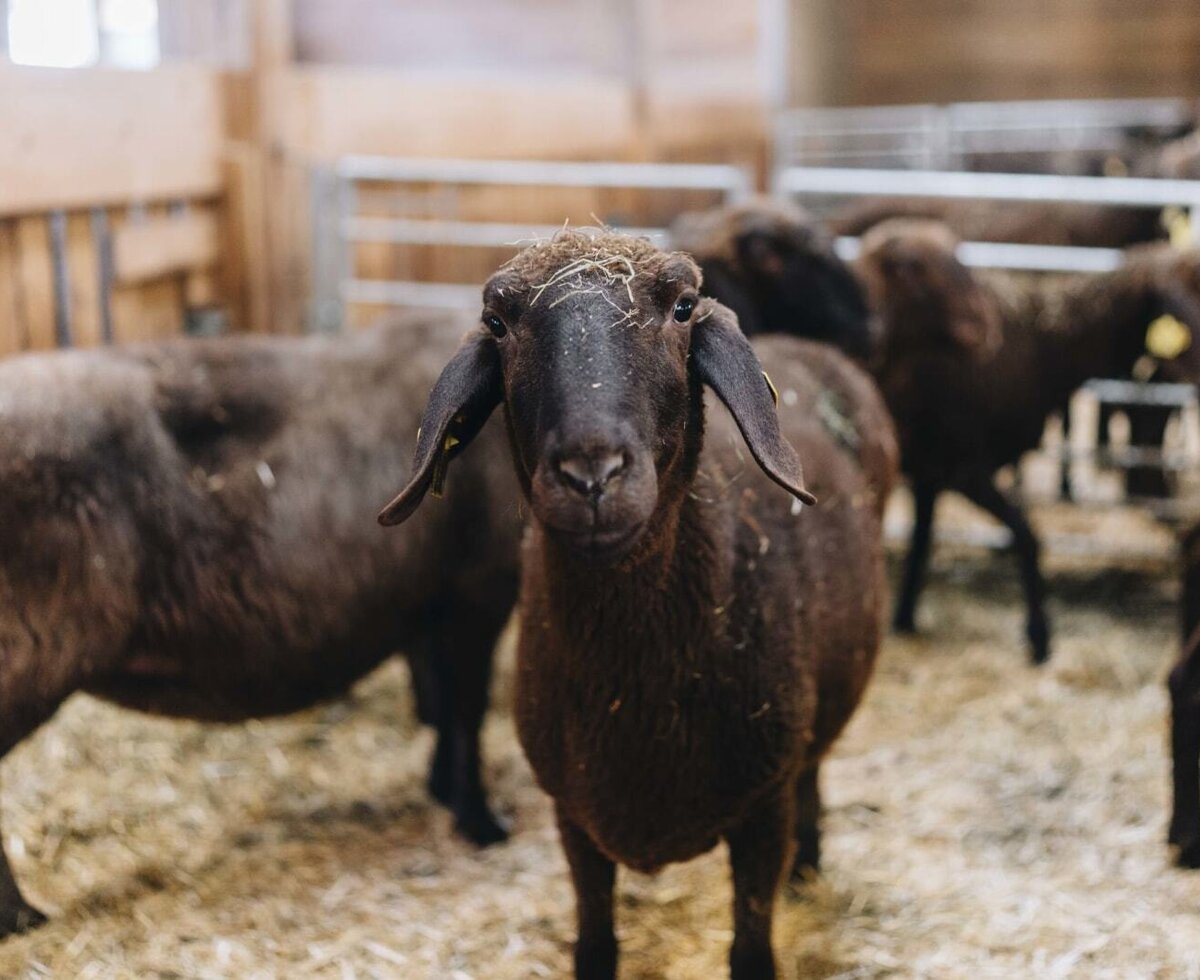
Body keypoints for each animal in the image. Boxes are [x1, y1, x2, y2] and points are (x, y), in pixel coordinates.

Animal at [0, 314, 521, 937]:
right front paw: (481, 823)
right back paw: (21, 918)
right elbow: (466, 712)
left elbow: (442, 704)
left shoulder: (431, 606)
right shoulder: (476, 592)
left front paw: (443, 791)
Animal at [379, 230, 898, 979]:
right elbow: (595, 946)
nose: (591, 475)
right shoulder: (574, 815)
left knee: (814, 768)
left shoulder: (761, 809)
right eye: (498, 322)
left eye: (682, 306)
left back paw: (809, 862)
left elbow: (751, 951)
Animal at [857, 219, 1200, 664]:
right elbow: (1026, 535)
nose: (984, 327)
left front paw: (905, 618)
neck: (1042, 345)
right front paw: (1040, 638)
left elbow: (922, 540)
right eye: (1174, 301)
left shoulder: (930, 468)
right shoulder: (962, 467)